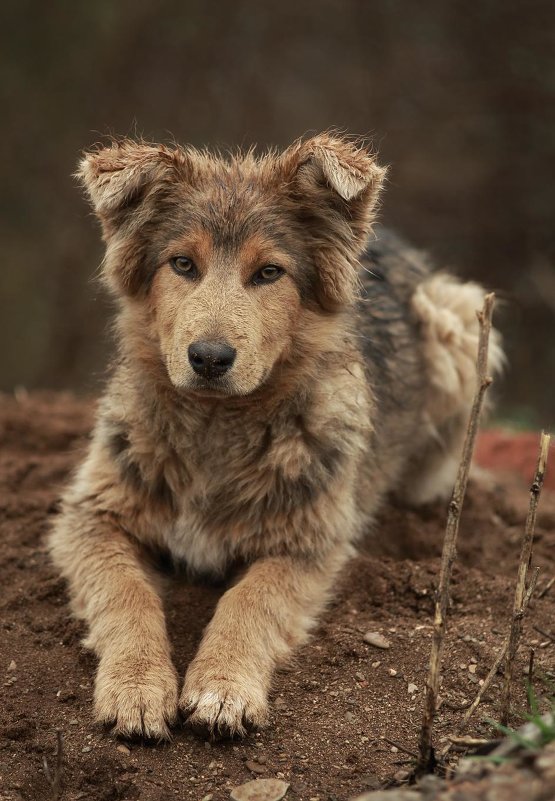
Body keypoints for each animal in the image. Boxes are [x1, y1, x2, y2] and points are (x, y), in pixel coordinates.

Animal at [50, 131, 506, 736]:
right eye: (182, 264)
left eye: (269, 273)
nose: (209, 358)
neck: (217, 428)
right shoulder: (89, 517)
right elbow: (126, 591)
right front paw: (138, 685)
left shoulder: (308, 543)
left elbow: (250, 600)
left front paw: (222, 687)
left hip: (456, 322)